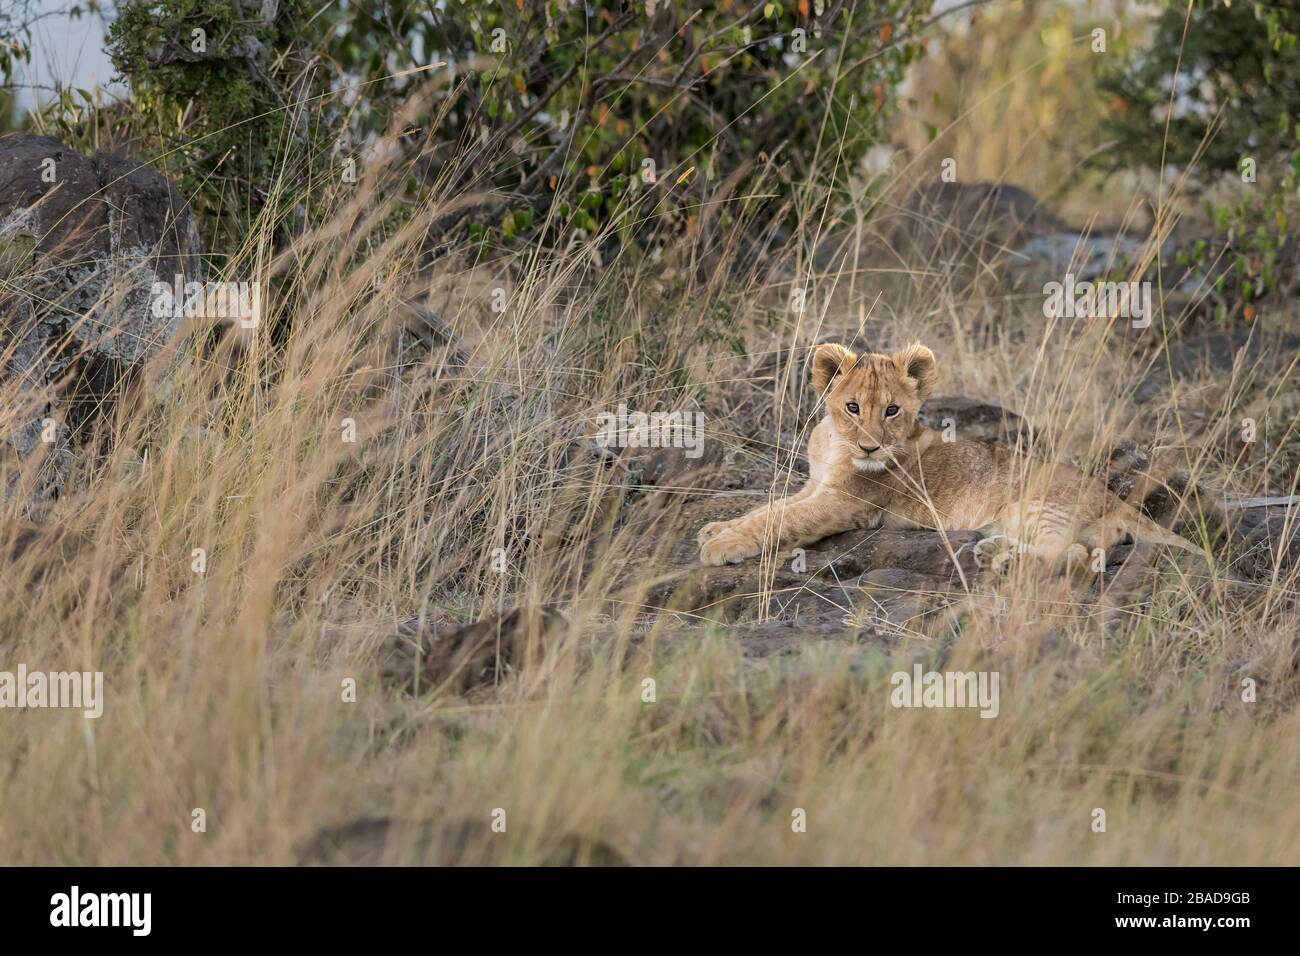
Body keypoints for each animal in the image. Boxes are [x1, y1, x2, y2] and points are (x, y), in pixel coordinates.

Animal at [697, 342, 1199, 574]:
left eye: (892, 410)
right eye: (853, 407)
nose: (870, 447)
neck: (835, 444)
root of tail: (1118, 501)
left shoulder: (847, 503)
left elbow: (782, 520)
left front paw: (721, 546)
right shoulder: (815, 486)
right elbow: (770, 508)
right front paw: (717, 528)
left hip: (1035, 503)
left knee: (1073, 554)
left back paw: (1001, 559)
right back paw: (993, 550)